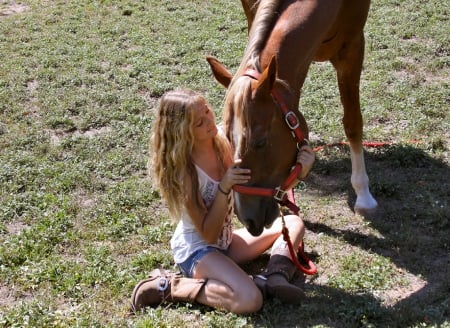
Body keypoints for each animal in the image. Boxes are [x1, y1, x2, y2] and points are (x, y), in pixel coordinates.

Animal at [207, 0, 376, 236]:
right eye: (227, 139)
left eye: (260, 142)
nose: (248, 219)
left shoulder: (352, 47)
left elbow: (352, 123)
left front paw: (364, 196)